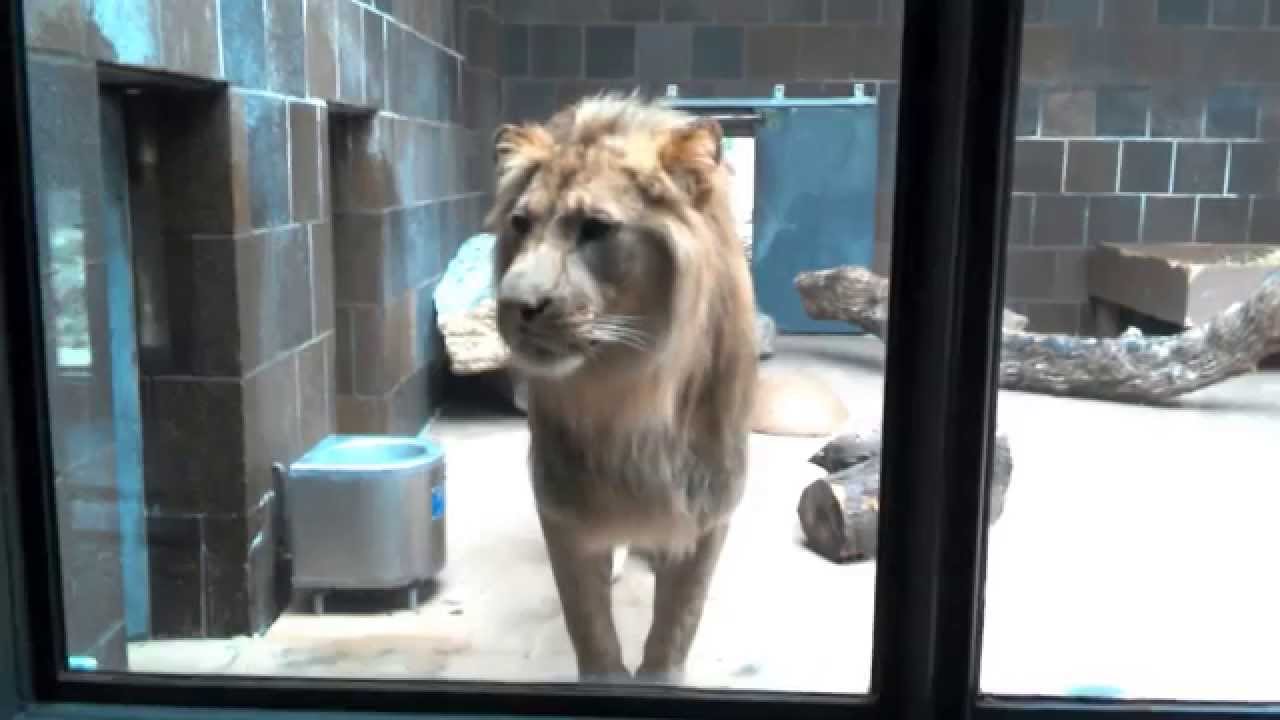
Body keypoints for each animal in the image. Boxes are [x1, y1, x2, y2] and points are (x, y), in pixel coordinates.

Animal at [485, 92, 758, 683]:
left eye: (595, 228)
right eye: (520, 222)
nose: (513, 305)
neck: (627, 389)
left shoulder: (709, 501)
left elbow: (680, 615)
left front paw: (660, 676)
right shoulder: (562, 500)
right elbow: (586, 618)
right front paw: (607, 678)